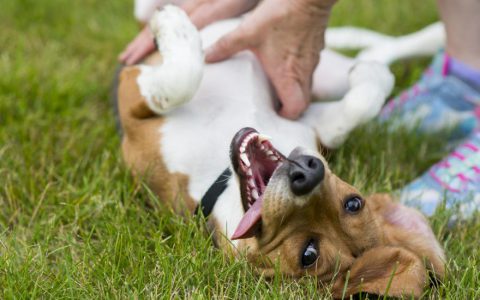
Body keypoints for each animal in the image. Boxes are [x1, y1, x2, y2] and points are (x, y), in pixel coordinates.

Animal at [116, 5, 446, 298]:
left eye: (308, 254)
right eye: (354, 203)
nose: (307, 174)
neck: (221, 176)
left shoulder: (131, 100)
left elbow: (180, 80)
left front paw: (172, 25)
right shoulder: (308, 116)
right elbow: (359, 104)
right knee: (371, 53)